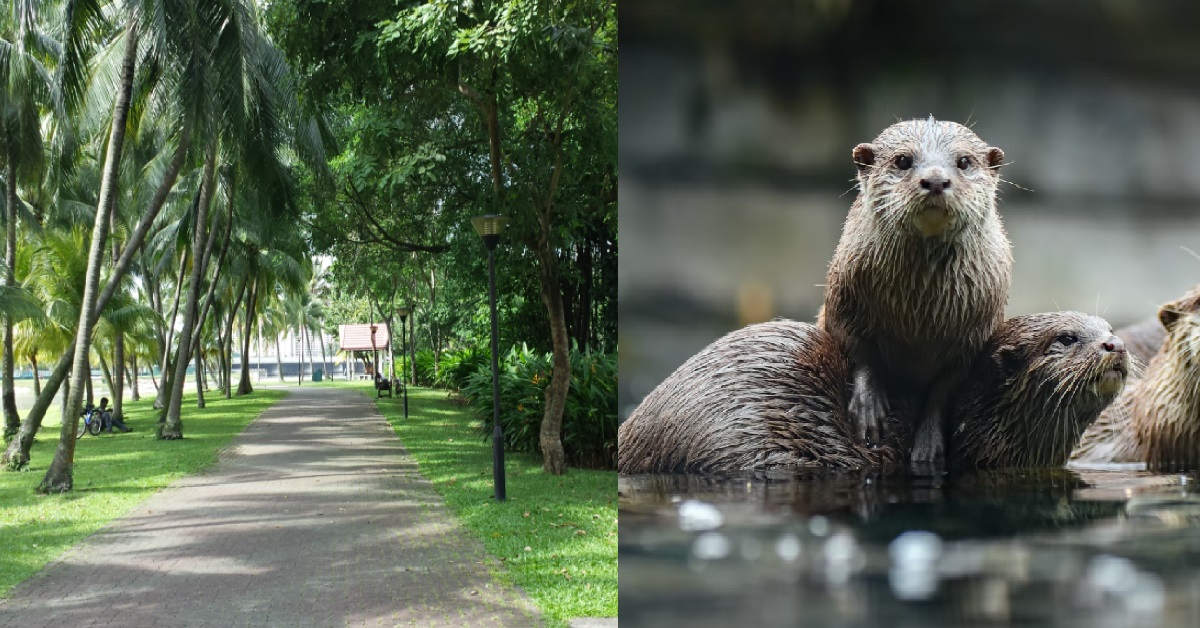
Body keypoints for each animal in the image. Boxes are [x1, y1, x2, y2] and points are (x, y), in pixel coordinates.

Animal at [821, 117, 1013, 466]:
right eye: (902, 160)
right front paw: (868, 410)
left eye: (964, 161)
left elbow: (944, 386)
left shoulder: (976, 333)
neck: (918, 317)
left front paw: (928, 444)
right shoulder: (843, 298)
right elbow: (858, 349)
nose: (935, 180)